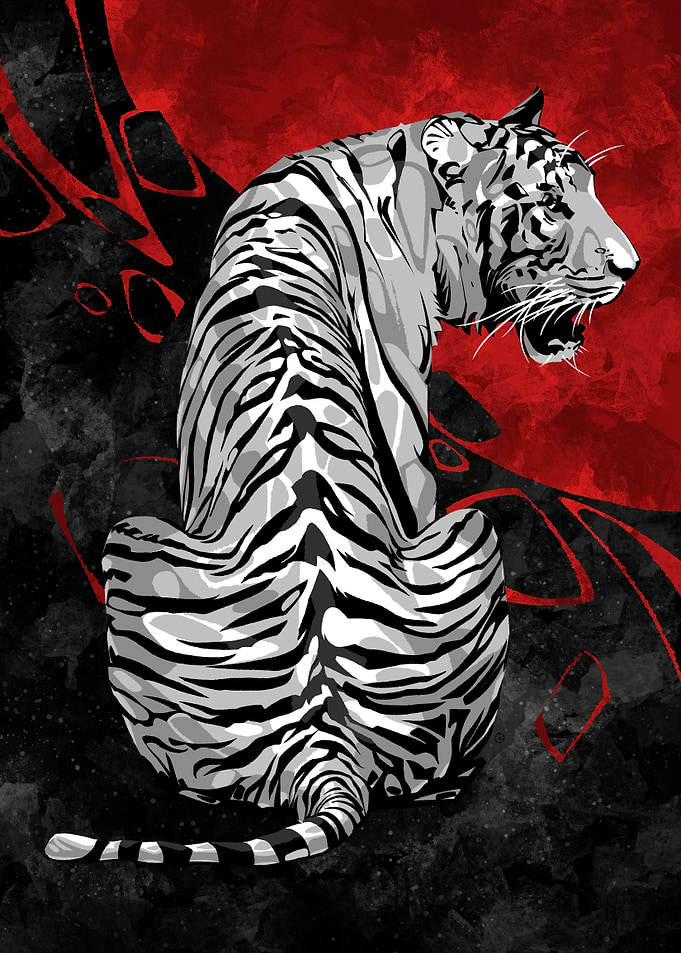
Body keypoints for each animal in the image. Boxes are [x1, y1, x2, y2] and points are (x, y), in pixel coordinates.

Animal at [45, 87, 638, 866]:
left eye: (592, 190)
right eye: (551, 205)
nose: (632, 268)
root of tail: (324, 742)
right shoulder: (408, 448)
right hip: (461, 528)